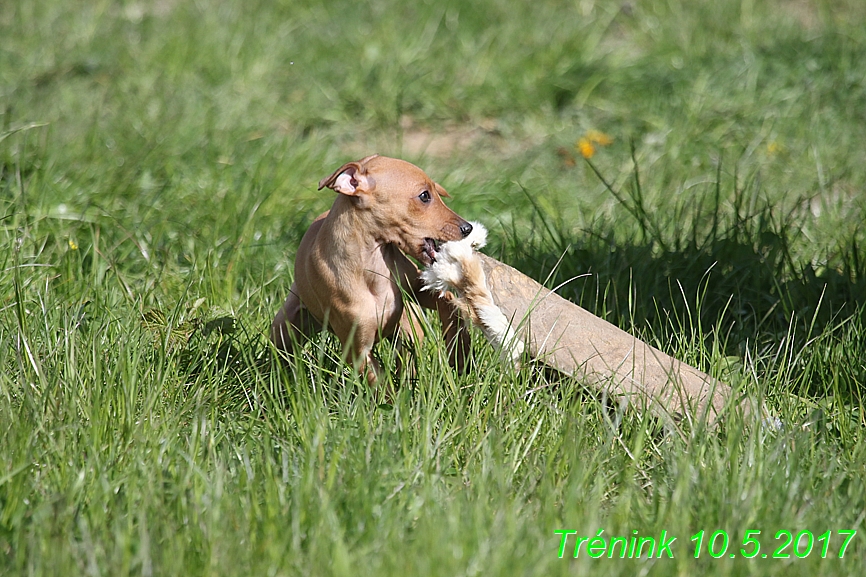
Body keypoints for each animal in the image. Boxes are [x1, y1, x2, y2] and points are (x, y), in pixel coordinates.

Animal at [270, 153, 472, 388]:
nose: (468, 228)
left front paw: (460, 354)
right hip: (284, 327)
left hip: (408, 326)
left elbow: (450, 304)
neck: (374, 266)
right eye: (424, 196)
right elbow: (380, 384)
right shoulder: (358, 351)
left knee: (408, 350)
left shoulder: (417, 286)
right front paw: (395, 398)